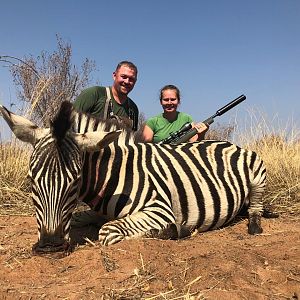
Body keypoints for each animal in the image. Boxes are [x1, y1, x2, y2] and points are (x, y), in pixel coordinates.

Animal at [1, 101, 270, 253]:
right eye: (30, 179)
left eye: (75, 181)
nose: (49, 246)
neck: (111, 174)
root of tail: (226, 142)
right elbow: (81, 218)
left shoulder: (160, 209)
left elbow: (107, 231)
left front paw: (170, 232)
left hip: (257, 172)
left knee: (256, 207)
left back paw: (254, 226)